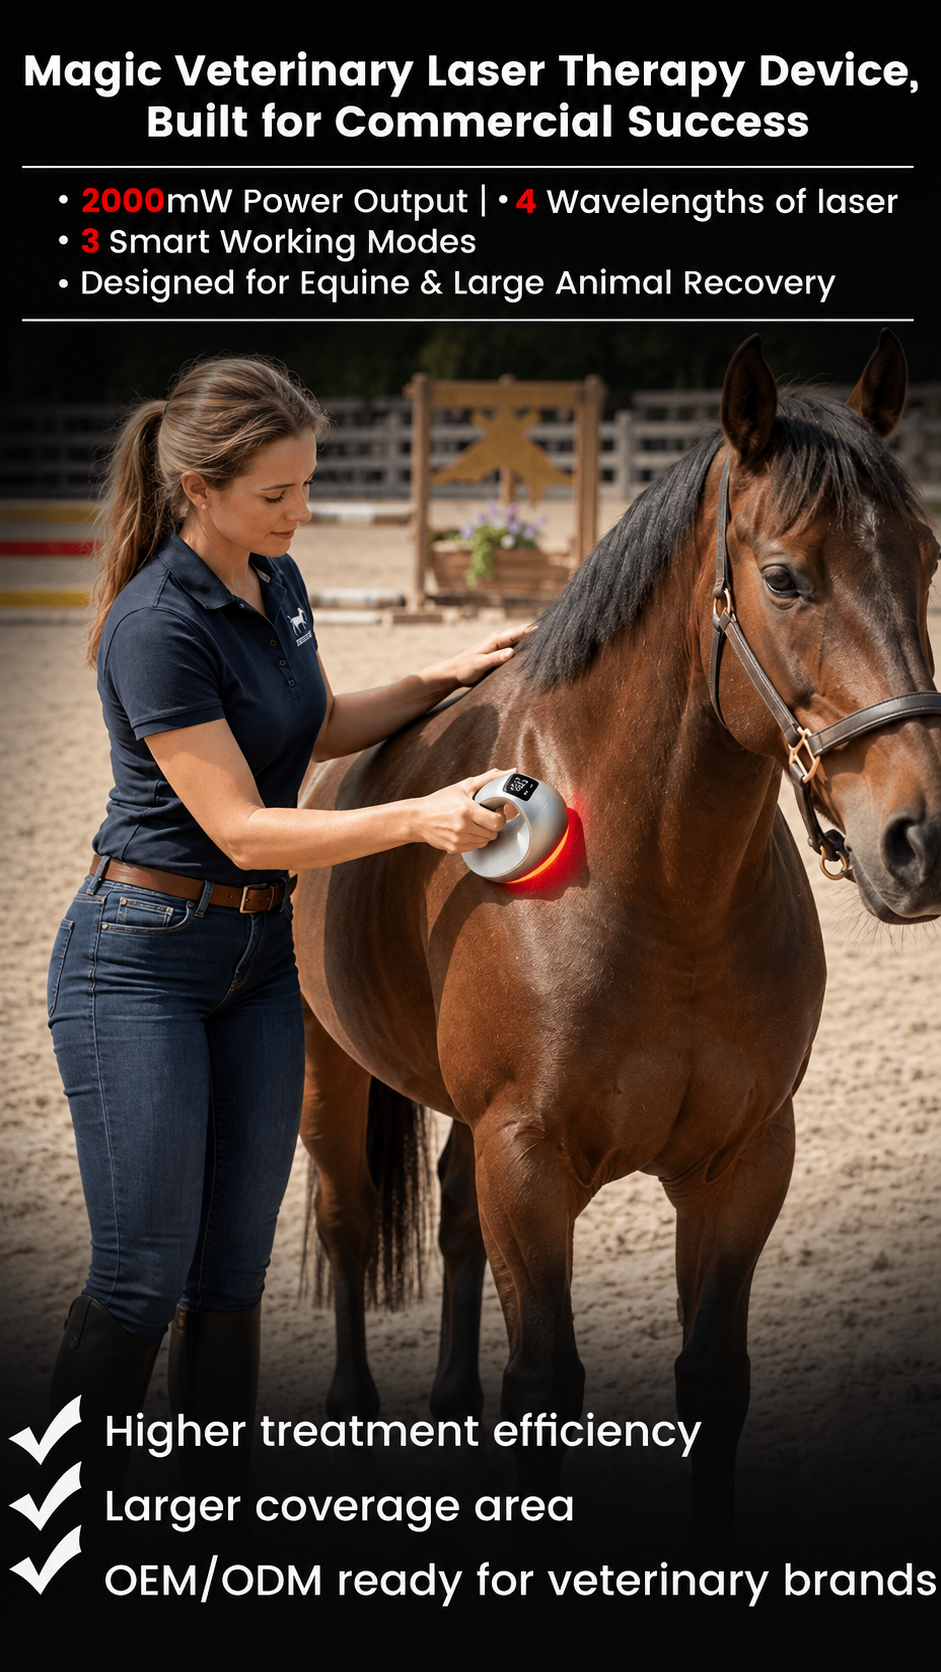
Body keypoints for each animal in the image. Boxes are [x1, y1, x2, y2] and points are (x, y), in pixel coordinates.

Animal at [292, 332, 941, 1547]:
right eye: (784, 577)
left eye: (924, 559)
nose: (917, 838)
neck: (660, 889)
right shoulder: (530, 1161)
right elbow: (546, 1386)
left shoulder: (741, 1165)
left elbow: (710, 1384)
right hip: (327, 1073)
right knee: (348, 1227)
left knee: (452, 1231)